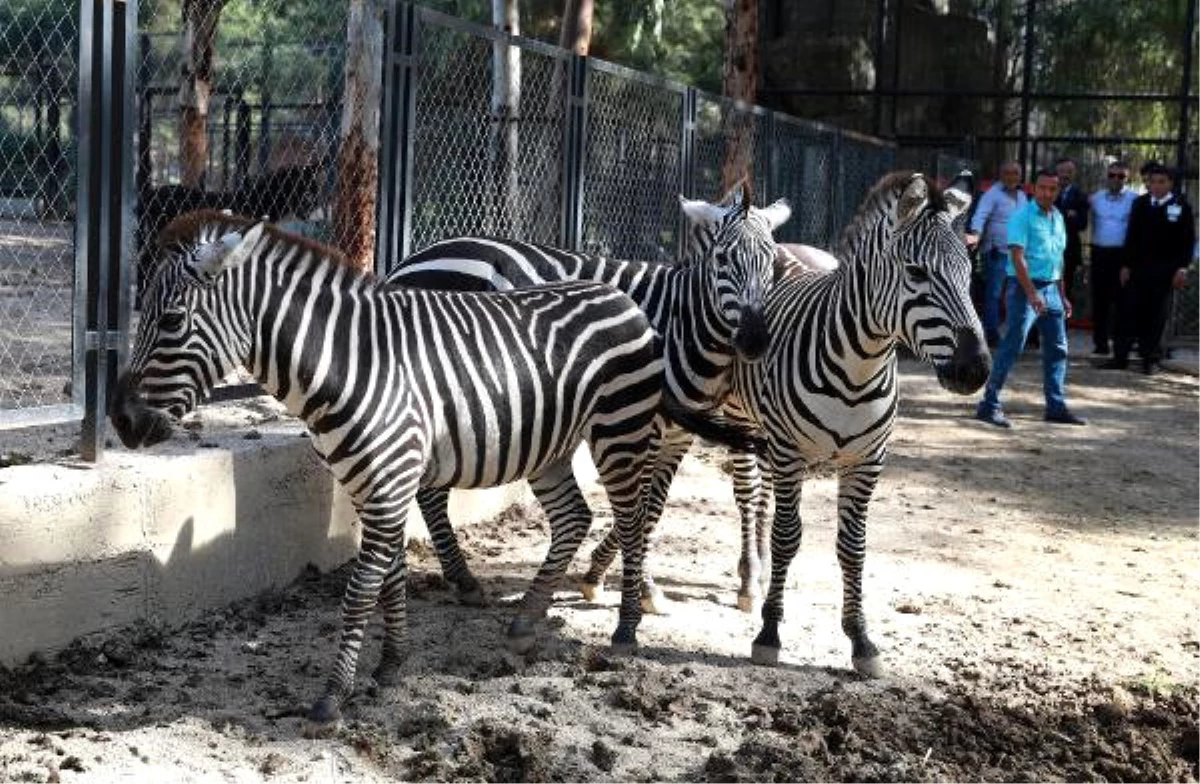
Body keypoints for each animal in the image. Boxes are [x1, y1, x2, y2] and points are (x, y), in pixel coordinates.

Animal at [109, 207, 676, 729]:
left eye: (171, 321)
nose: (121, 421)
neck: (347, 367)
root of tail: (620, 296)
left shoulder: (389, 482)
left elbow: (361, 589)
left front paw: (333, 696)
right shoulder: (370, 485)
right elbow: (391, 576)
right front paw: (390, 665)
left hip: (620, 432)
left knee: (632, 520)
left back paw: (626, 628)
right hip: (550, 448)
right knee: (574, 518)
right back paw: (525, 620)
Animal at [384, 182, 792, 612]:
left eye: (771, 262)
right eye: (722, 259)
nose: (754, 341)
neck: (682, 324)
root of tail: (410, 260)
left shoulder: (677, 436)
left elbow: (654, 505)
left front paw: (608, 574)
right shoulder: (641, 424)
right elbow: (641, 506)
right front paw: (636, 583)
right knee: (427, 489)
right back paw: (463, 580)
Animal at [667, 169, 993, 672]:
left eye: (968, 273)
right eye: (917, 273)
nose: (975, 369)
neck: (859, 367)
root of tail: (782, 243)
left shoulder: (868, 460)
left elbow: (852, 547)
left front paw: (861, 639)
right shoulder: (790, 450)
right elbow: (788, 536)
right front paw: (770, 632)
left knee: (763, 499)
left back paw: (760, 572)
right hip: (747, 421)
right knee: (749, 496)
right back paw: (750, 580)